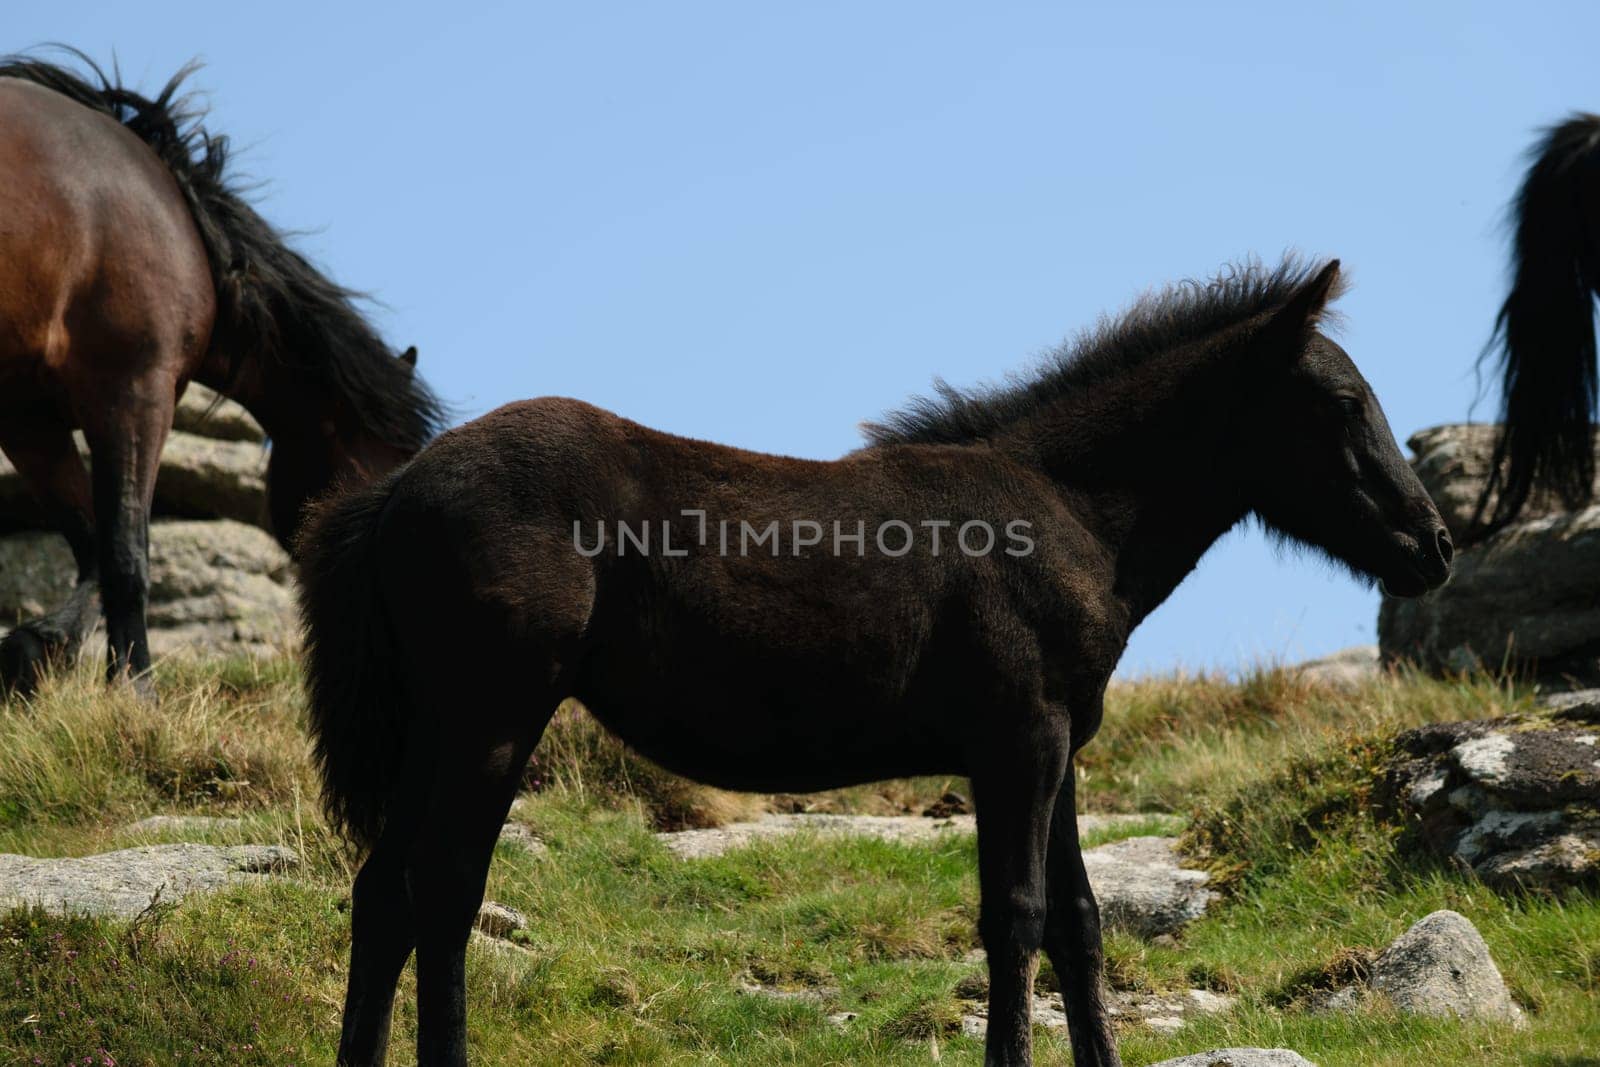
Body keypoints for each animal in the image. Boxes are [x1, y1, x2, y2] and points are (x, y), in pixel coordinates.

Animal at [0, 54, 444, 694]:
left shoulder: (29, 418)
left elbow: (88, 543)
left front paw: (37, 648)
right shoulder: (136, 390)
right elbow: (124, 553)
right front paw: (134, 687)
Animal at [297, 254, 1452, 1062]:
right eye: (1344, 403)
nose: (1434, 543)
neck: (1068, 512)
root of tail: (396, 487)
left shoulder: (1059, 749)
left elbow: (1077, 922)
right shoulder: (1017, 742)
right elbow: (1014, 918)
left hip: (436, 729)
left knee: (383, 892)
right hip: (492, 718)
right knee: (445, 889)